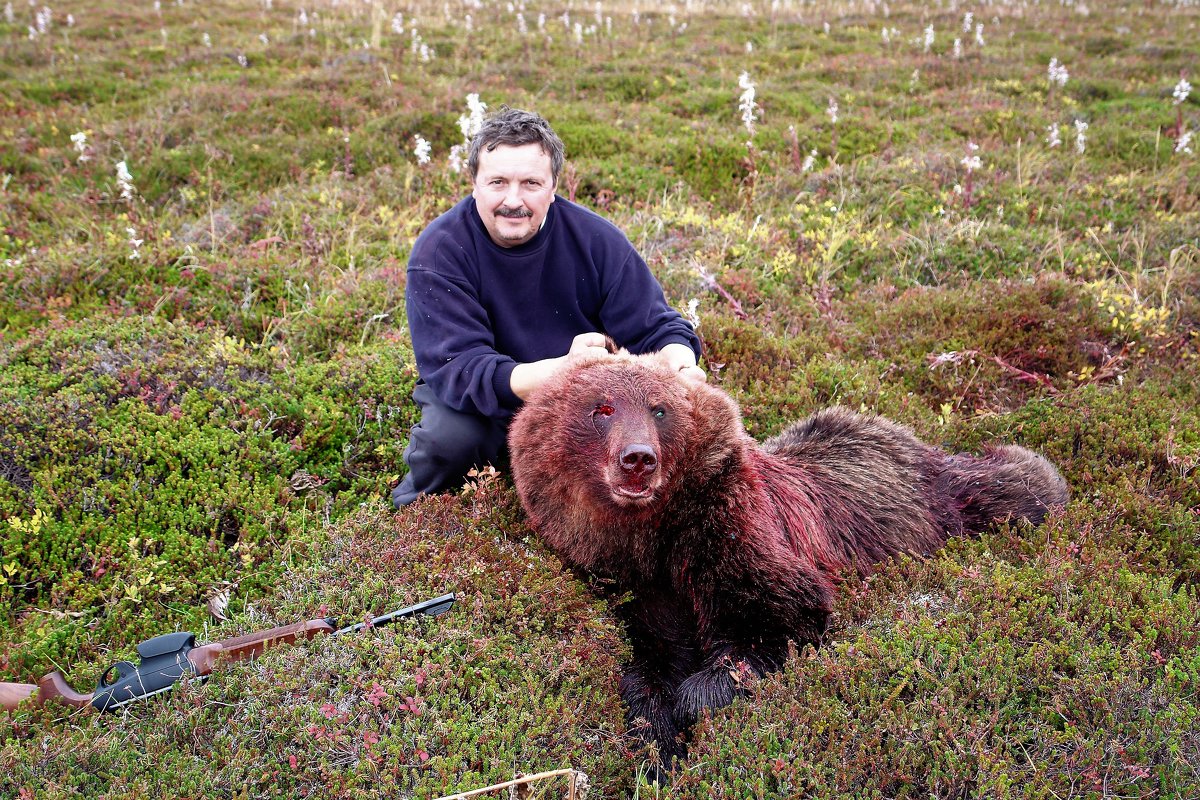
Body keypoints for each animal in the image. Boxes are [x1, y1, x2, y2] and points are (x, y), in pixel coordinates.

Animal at [506, 352, 1070, 777]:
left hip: (940, 503)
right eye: (601, 409)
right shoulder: (634, 583)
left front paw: (697, 698)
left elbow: (778, 613)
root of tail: (910, 440)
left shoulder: (732, 526)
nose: (638, 458)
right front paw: (657, 736)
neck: (654, 534)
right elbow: (648, 661)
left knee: (1016, 483)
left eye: (660, 409)